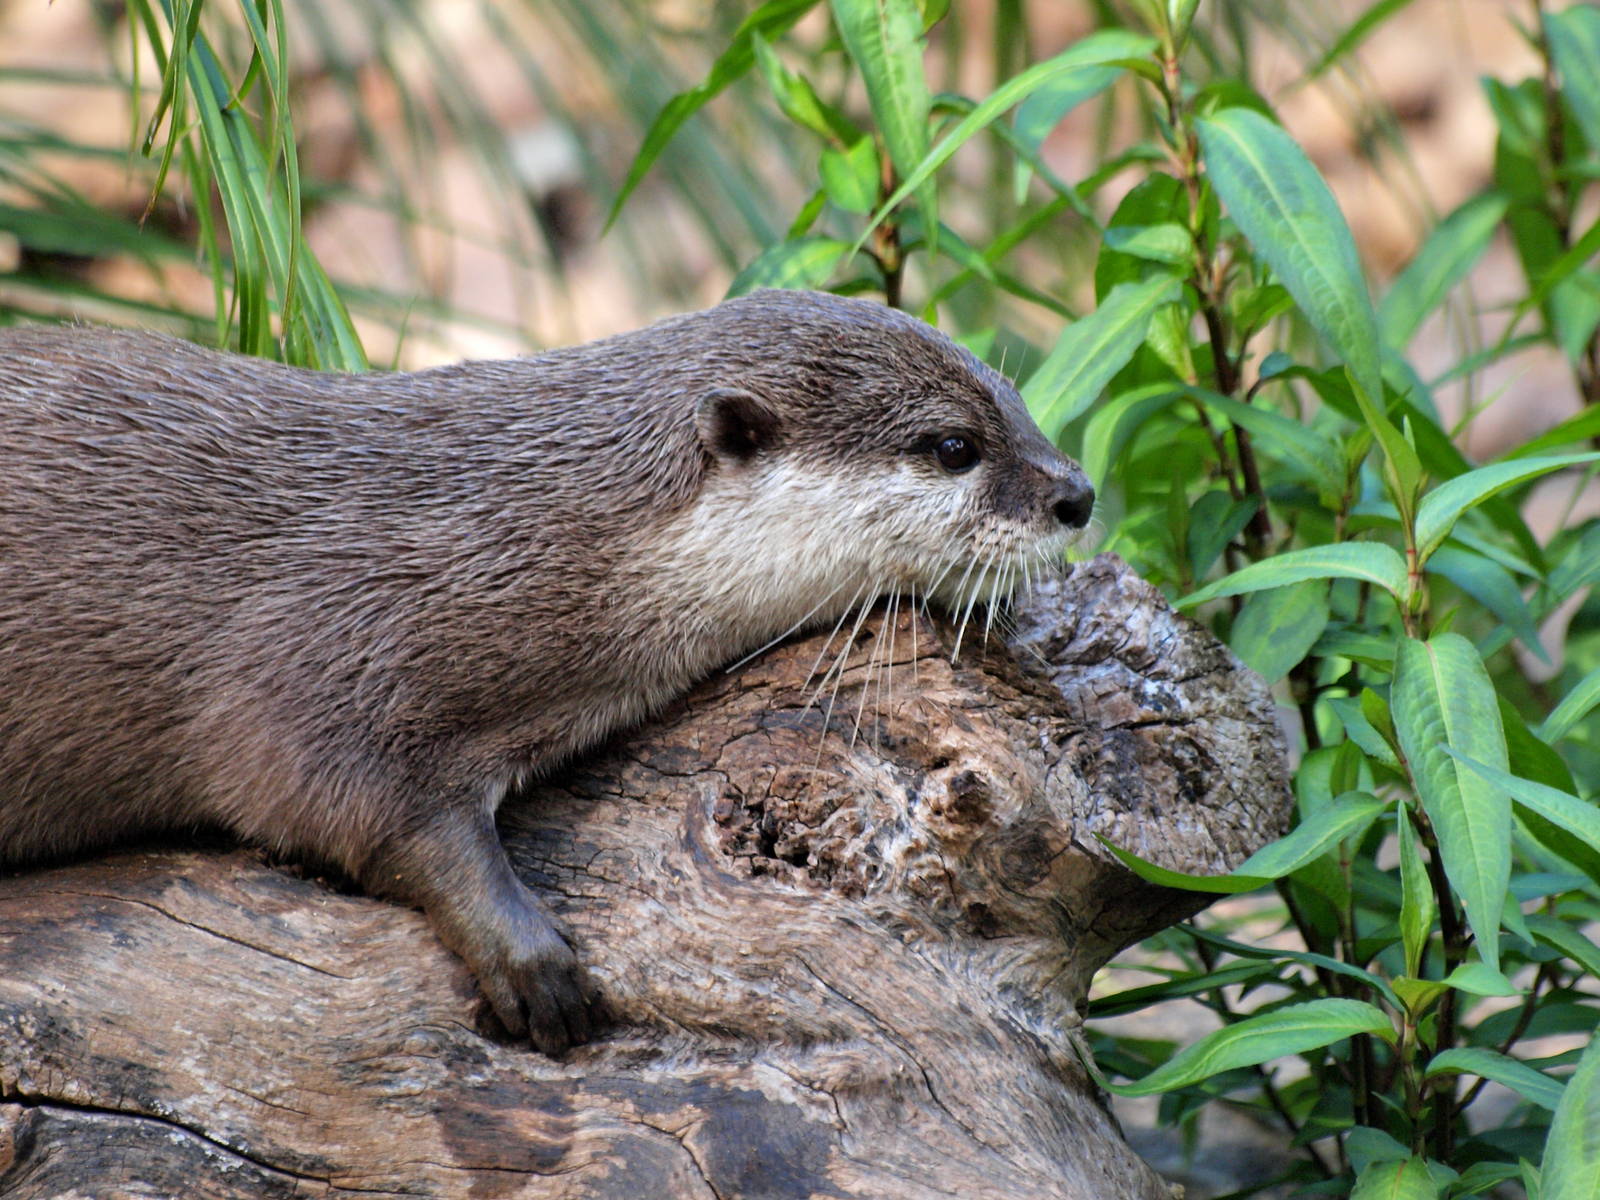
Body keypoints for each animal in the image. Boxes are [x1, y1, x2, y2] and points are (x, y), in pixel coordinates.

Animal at [0, 289, 1093, 1054]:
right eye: (952, 444)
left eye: (1021, 404)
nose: (1077, 496)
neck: (525, 532)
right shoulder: (330, 640)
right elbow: (339, 798)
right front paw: (529, 960)